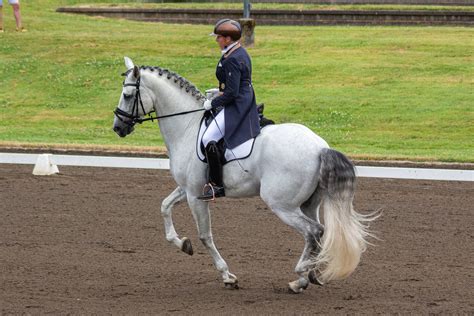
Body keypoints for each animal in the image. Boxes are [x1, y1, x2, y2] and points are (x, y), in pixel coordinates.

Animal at [113, 57, 376, 294]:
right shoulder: (188, 189)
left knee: (313, 232)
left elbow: (205, 235)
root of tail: (320, 148)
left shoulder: (194, 195)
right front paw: (183, 244)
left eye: (127, 95)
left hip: (281, 204)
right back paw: (307, 276)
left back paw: (301, 275)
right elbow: (164, 206)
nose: (118, 127)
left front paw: (227, 275)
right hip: (309, 203)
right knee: (317, 233)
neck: (187, 126)